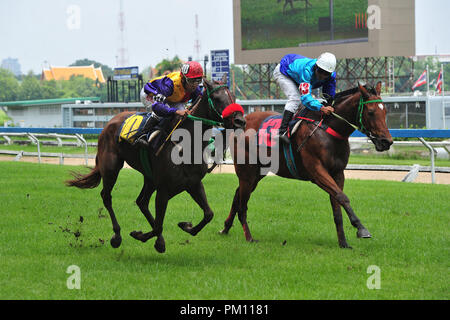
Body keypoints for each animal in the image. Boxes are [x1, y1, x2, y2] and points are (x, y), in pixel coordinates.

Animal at [66, 76, 246, 254]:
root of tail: (110, 122)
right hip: (111, 167)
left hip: (149, 178)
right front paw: (141, 235)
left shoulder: (193, 184)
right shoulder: (164, 189)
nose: (240, 121)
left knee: (142, 202)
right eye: (216, 98)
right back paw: (117, 236)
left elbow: (208, 214)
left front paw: (185, 226)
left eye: (234, 97)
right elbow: (159, 226)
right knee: (107, 197)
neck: (187, 144)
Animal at [221, 81, 394, 249]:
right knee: (242, 204)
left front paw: (343, 243)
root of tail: (242, 122)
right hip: (247, 171)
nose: (387, 141)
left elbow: (337, 206)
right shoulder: (317, 172)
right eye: (370, 112)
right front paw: (361, 228)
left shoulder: (338, 173)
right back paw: (249, 237)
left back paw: (225, 228)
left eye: (385, 111)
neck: (329, 130)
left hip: (257, 174)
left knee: (237, 195)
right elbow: (342, 197)